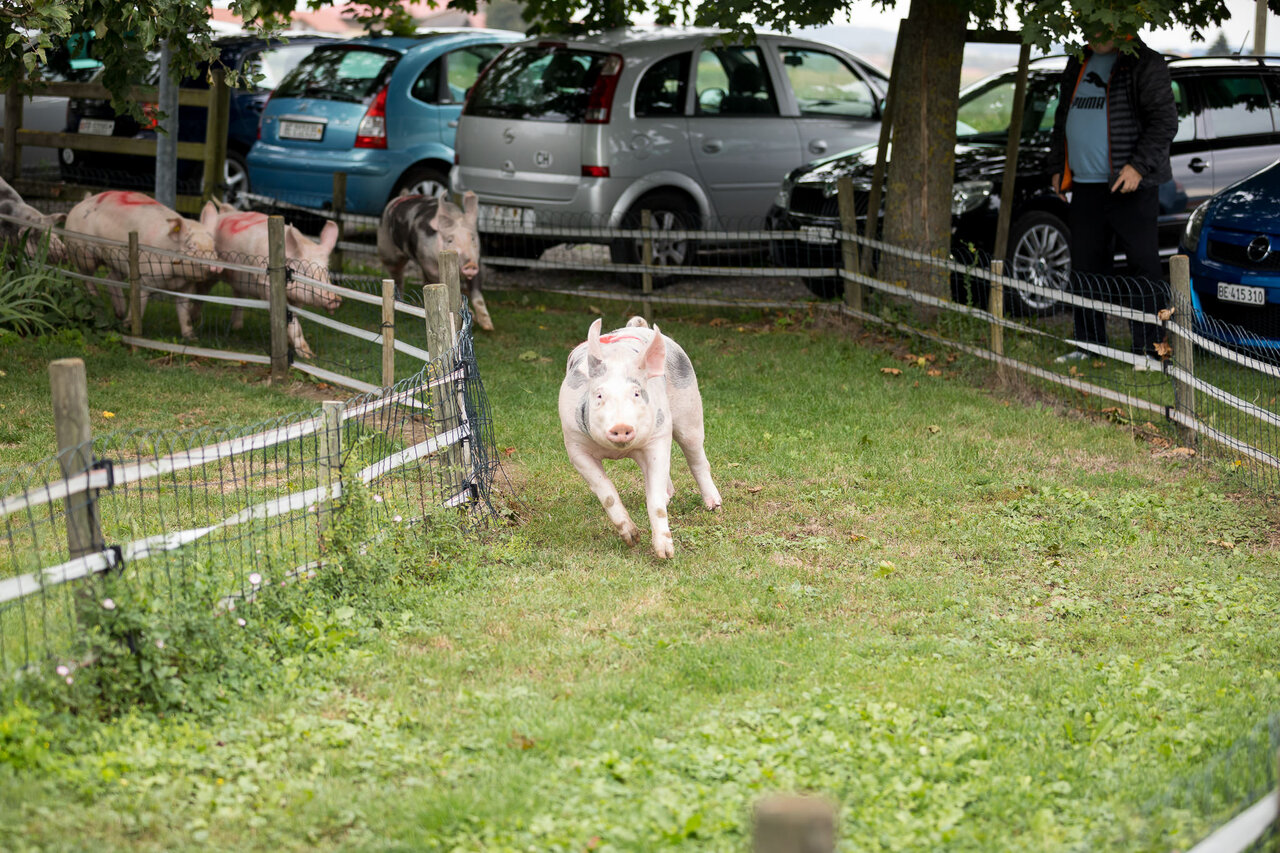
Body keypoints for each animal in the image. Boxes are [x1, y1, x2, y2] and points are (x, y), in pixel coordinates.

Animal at [63, 191, 222, 335]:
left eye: (213, 245)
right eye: (191, 246)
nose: (216, 265)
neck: (173, 278)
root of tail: (81, 202)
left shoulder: (186, 286)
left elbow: (184, 314)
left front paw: (191, 338)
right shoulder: (144, 278)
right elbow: (138, 307)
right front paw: (128, 329)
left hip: (120, 262)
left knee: (110, 279)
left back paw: (119, 313)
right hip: (81, 253)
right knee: (86, 276)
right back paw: (97, 304)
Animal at [208, 202, 341, 360]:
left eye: (326, 270)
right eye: (305, 271)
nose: (336, 298)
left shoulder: (298, 298)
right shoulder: (265, 285)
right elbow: (294, 325)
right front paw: (308, 355)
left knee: (238, 296)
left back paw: (237, 327)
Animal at [377, 190, 493, 331]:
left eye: (472, 238)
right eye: (450, 240)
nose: (470, 264)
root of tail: (402, 196)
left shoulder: (478, 261)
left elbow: (477, 294)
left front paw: (488, 326)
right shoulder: (429, 264)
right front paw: (473, 318)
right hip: (387, 249)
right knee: (397, 275)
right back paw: (399, 301)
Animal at [558, 316, 722, 559]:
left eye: (636, 393)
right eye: (599, 395)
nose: (621, 425)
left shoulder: (659, 436)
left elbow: (654, 502)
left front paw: (666, 554)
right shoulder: (575, 446)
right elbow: (606, 492)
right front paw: (632, 539)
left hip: (689, 408)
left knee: (697, 458)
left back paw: (714, 505)